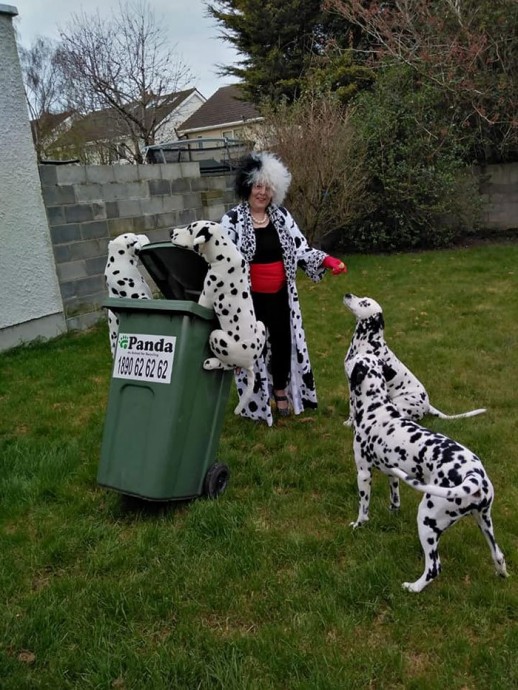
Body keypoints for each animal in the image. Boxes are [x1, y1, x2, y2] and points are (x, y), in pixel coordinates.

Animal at [172, 220, 268, 414]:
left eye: (190, 228)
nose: (171, 232)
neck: (225, 256)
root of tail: (250, 362)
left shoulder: (205, 298)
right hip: (260, 325)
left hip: (217, 337)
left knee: (228, 365)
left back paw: (211, 362)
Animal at [348, 352, 510, 588]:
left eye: (355, 358)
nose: (349, 354)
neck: (375, 410)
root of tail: (474, 476)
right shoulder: (392, 474)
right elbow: (395, 500)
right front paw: (392, 512)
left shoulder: (363, 474)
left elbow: (363, 508)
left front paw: (359, 524)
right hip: (483, 521)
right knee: (498, 555)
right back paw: (502, 573)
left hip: (427, 520)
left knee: (434, 567)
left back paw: (413, 587)